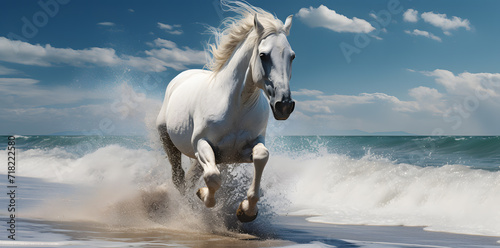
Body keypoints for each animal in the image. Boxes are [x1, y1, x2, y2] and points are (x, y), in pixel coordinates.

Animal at [156, 1, 294, 223]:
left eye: (292, 56)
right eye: (263, 55)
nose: (284, 105)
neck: (237, 105)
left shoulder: (240, 151)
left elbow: (261, 156)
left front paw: (246, 211)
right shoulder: (203, 144)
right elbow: (213, 178)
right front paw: (203, 195)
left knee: (191, 176)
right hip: (168, 140)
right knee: (179, 178)